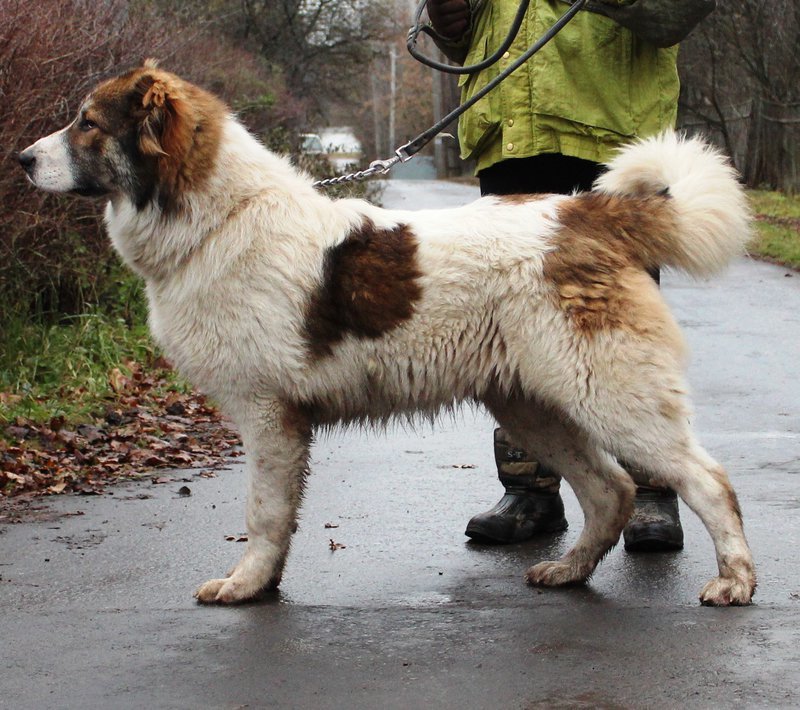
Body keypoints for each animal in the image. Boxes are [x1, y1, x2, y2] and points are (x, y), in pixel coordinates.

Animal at [20, 62, 756, 608]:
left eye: (87, 122)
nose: (22, 157)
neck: (219, 216)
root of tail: (589, 214)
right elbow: (278, 516)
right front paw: (264, 584)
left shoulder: (267, 416)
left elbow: (263, 513)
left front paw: (245, 585)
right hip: (532, 404)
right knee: (610, 489)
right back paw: (569, 570)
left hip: (611, 396)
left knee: (705, 480)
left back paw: (734, 581)